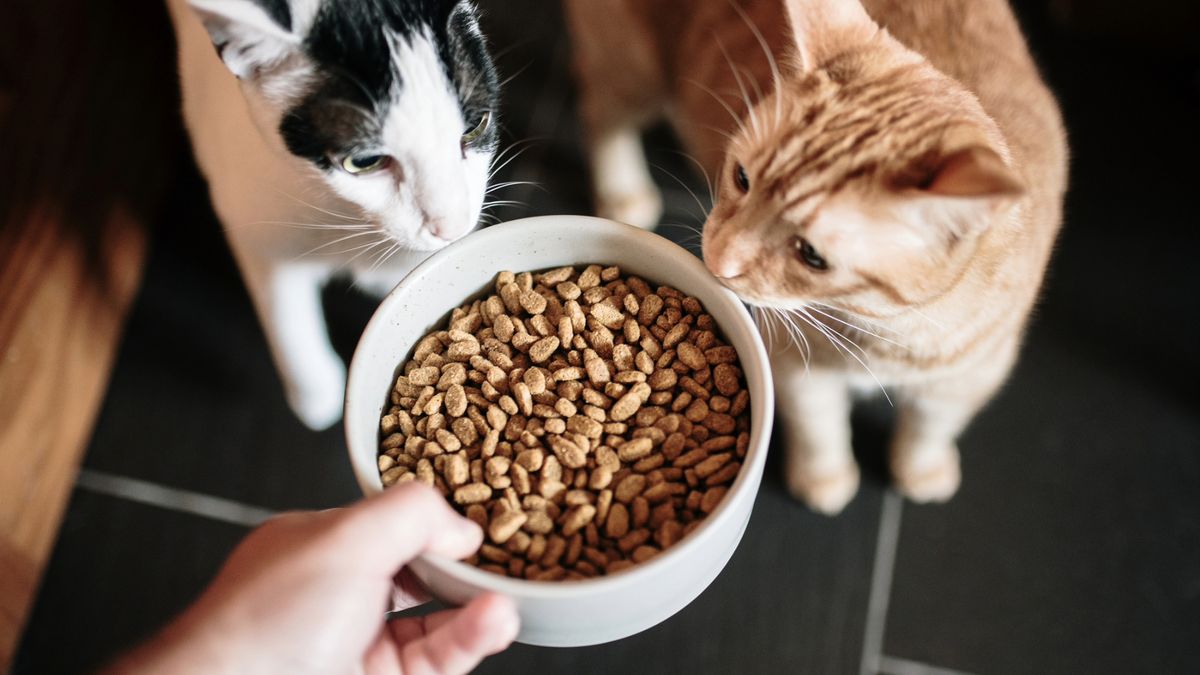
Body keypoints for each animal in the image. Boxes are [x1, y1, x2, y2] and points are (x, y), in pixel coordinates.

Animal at [166, 0, 499, 427]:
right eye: (364, 162)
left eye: (476, 126)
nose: (451, 227)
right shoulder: (254, 218)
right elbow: (286, 316)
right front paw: (316, 395)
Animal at [564, 0, 1070, 509]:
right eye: (742, 178)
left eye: (812, 255)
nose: (718, 261)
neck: (884, 330)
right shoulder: (792, 361)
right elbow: (818, 427)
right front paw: (825, 482)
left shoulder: (972, 374)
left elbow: (931, 429)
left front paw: (922, 471)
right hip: (631, 65)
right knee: (599, 108)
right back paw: (623, 190)